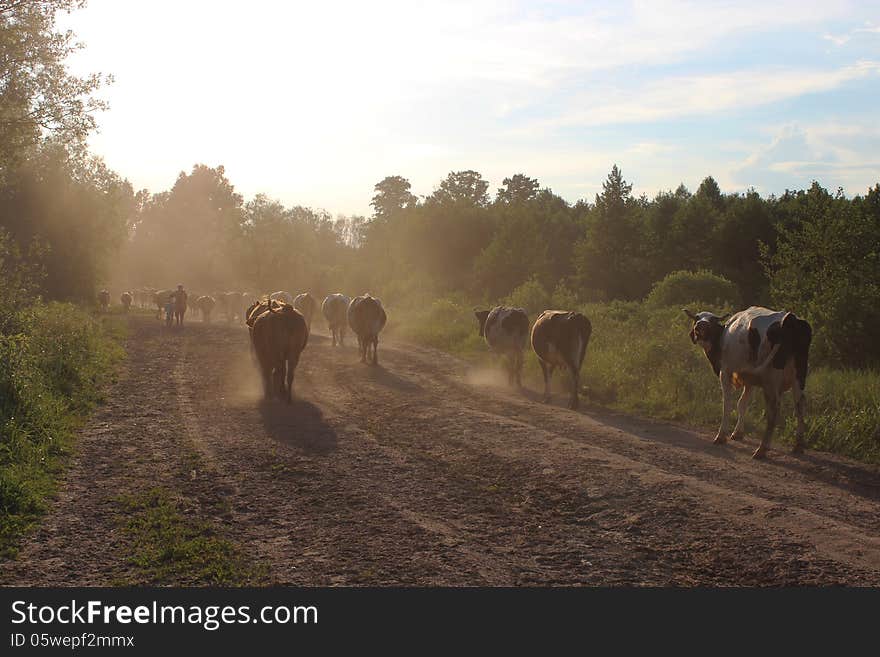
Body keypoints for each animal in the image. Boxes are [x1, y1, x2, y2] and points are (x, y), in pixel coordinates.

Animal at [684, 304, 816, 458]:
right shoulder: (749, 379)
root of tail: (790, 318)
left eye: (712, 320)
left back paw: (762, 449)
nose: (701, 325)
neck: (723, 337)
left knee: (774, 409)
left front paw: (721, 435)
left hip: (771, 380)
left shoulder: (726, 371)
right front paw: (738, 433)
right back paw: (798, 445)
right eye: (697, 317)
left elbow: (727, 404)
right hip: (798, 376)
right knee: (800, 404)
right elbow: (742, 403)